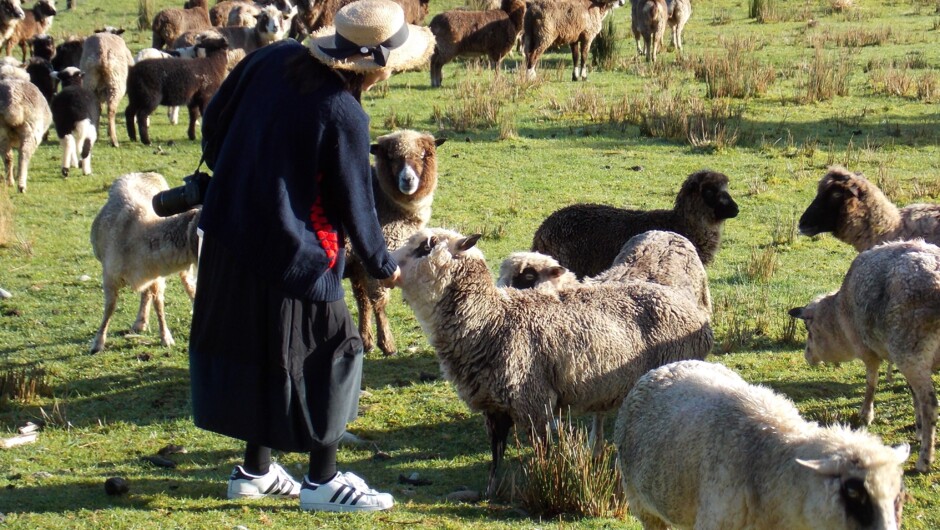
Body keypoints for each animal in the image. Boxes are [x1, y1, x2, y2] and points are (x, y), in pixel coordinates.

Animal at [90, 172, 199, 354]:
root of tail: (145, 172)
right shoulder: (109, 276)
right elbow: (110, 308)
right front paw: (98, 343)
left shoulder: (157, 277)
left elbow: (159, 304)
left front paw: (166, 338)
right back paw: (140, 322)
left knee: (187, 284)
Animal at [345, 130, 445, 357]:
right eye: (390, 158)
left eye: (423, 155)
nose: (407, 180)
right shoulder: (378, 256)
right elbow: (378, 301)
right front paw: (387, 344)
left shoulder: (358, 263)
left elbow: (362, 300)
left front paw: (366, 341)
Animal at [392, 227, 714, 497]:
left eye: (426, 246)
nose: (388, 267)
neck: (492, 319)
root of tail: (695, 316)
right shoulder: (493, 406)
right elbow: (496, 456)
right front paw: (490, 493)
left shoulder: (534, 402)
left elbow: (542, 453)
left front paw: (545, 481)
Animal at [789, 239, 940, 473]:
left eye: (808, 327)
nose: (807, 355)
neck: (838, 314)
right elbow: (913, 394)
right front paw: (918, 429)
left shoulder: (870, 351)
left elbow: (871, 383)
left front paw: (865, 414)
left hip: (911, 351)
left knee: (931, 404)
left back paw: (924, 460)